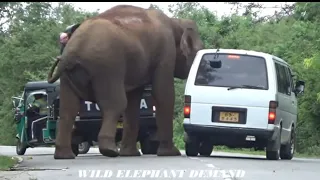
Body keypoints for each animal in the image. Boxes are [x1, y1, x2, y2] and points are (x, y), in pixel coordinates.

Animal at [46, 4, 204, 159]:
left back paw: (64, 155)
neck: (175, 22)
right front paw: (171, 153)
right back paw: (109, 151)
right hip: (107, 67)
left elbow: (133, 101)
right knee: (115, 104)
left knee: (68, 109)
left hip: (68, 76)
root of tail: (71, 52)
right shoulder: (165, 52)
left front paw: (130, 154)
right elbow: (163, 95)